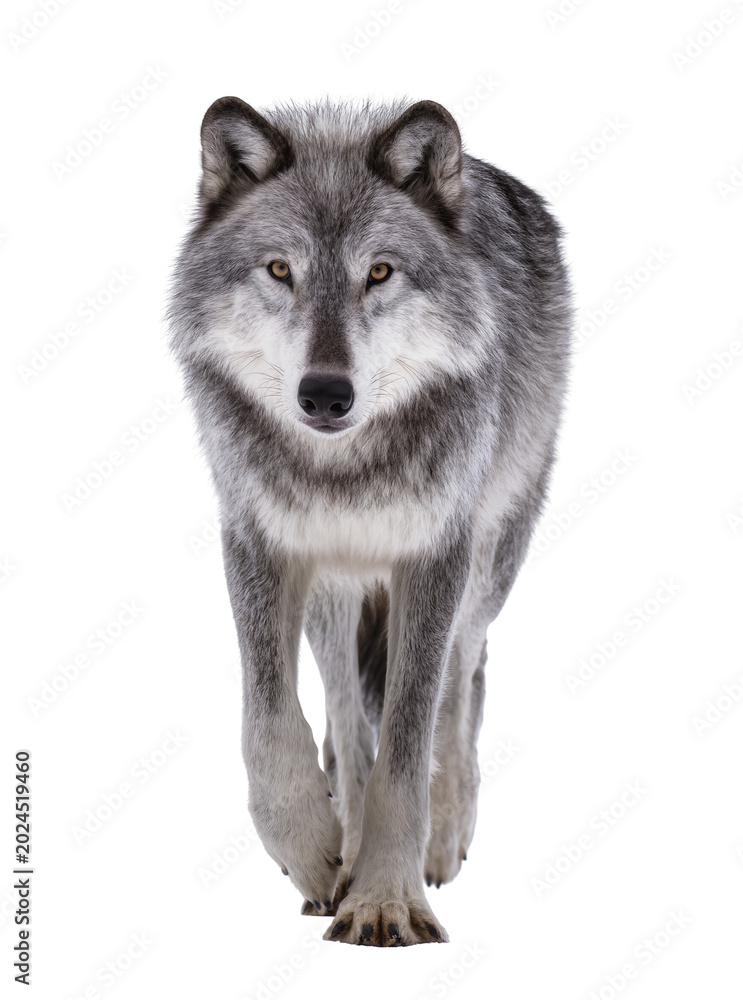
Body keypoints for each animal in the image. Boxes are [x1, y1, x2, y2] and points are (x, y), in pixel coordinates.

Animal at [168, 96, 572, 946]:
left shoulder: (434, 553)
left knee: (461, 677)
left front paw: (387, 898)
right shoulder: (259, 540)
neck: (342, 469)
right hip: (336, 591)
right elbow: (269, 722)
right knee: (345, 716)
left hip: (488, 562)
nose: (325, 394)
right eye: (279, 270)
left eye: (378, 272)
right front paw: (316, 854)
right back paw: (341, 849)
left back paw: (442, 837)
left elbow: (410, 743)